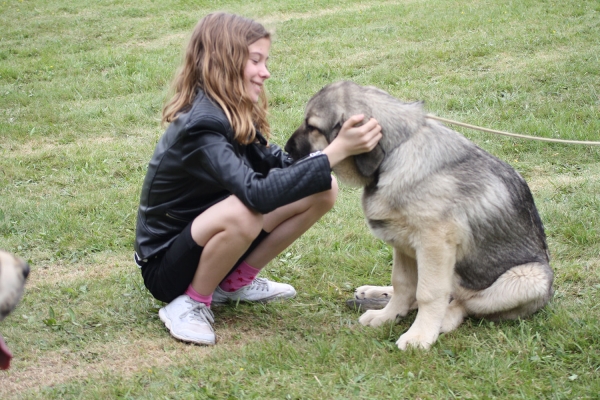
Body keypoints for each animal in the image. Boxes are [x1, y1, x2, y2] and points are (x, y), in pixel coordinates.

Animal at [286, 81, 552, 350]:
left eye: (312, 127)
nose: (286, 150)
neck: (396, 151)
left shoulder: (434, 243)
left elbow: (428, 293)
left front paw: (419, 336)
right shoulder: (402, 242)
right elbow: (403, 284)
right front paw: (387, 316)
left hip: (530, 277)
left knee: (464, 303)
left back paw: (443, 319)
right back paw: (376, 292)